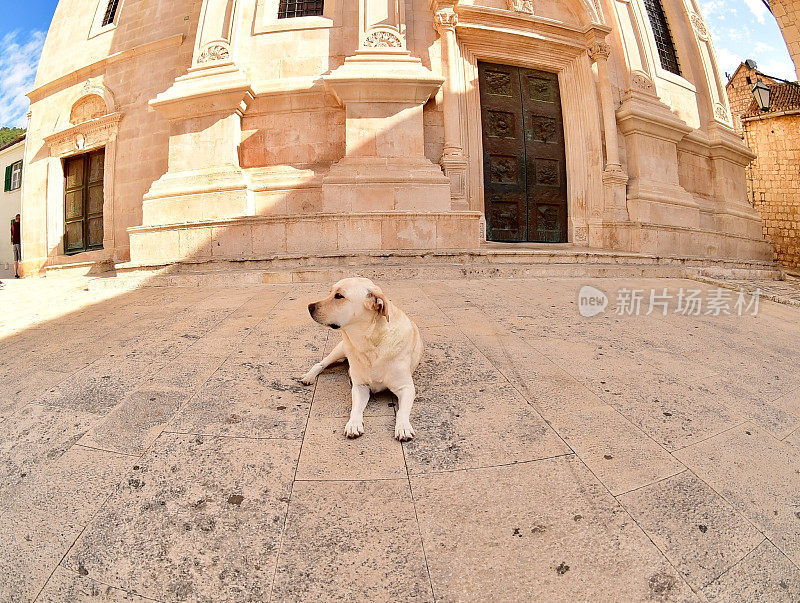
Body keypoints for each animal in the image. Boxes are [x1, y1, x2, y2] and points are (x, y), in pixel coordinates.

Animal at [302, 278, 424, 444]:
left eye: (339, 296)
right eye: (331, 292)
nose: (309, 307)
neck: (370, 345)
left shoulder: (406, 387)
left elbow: (402, 412)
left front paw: (403, 427)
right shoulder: (360, 387)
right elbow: (355, 409)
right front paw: (353, 424)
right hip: (340, 349)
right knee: (320, 364)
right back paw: (309, 376)